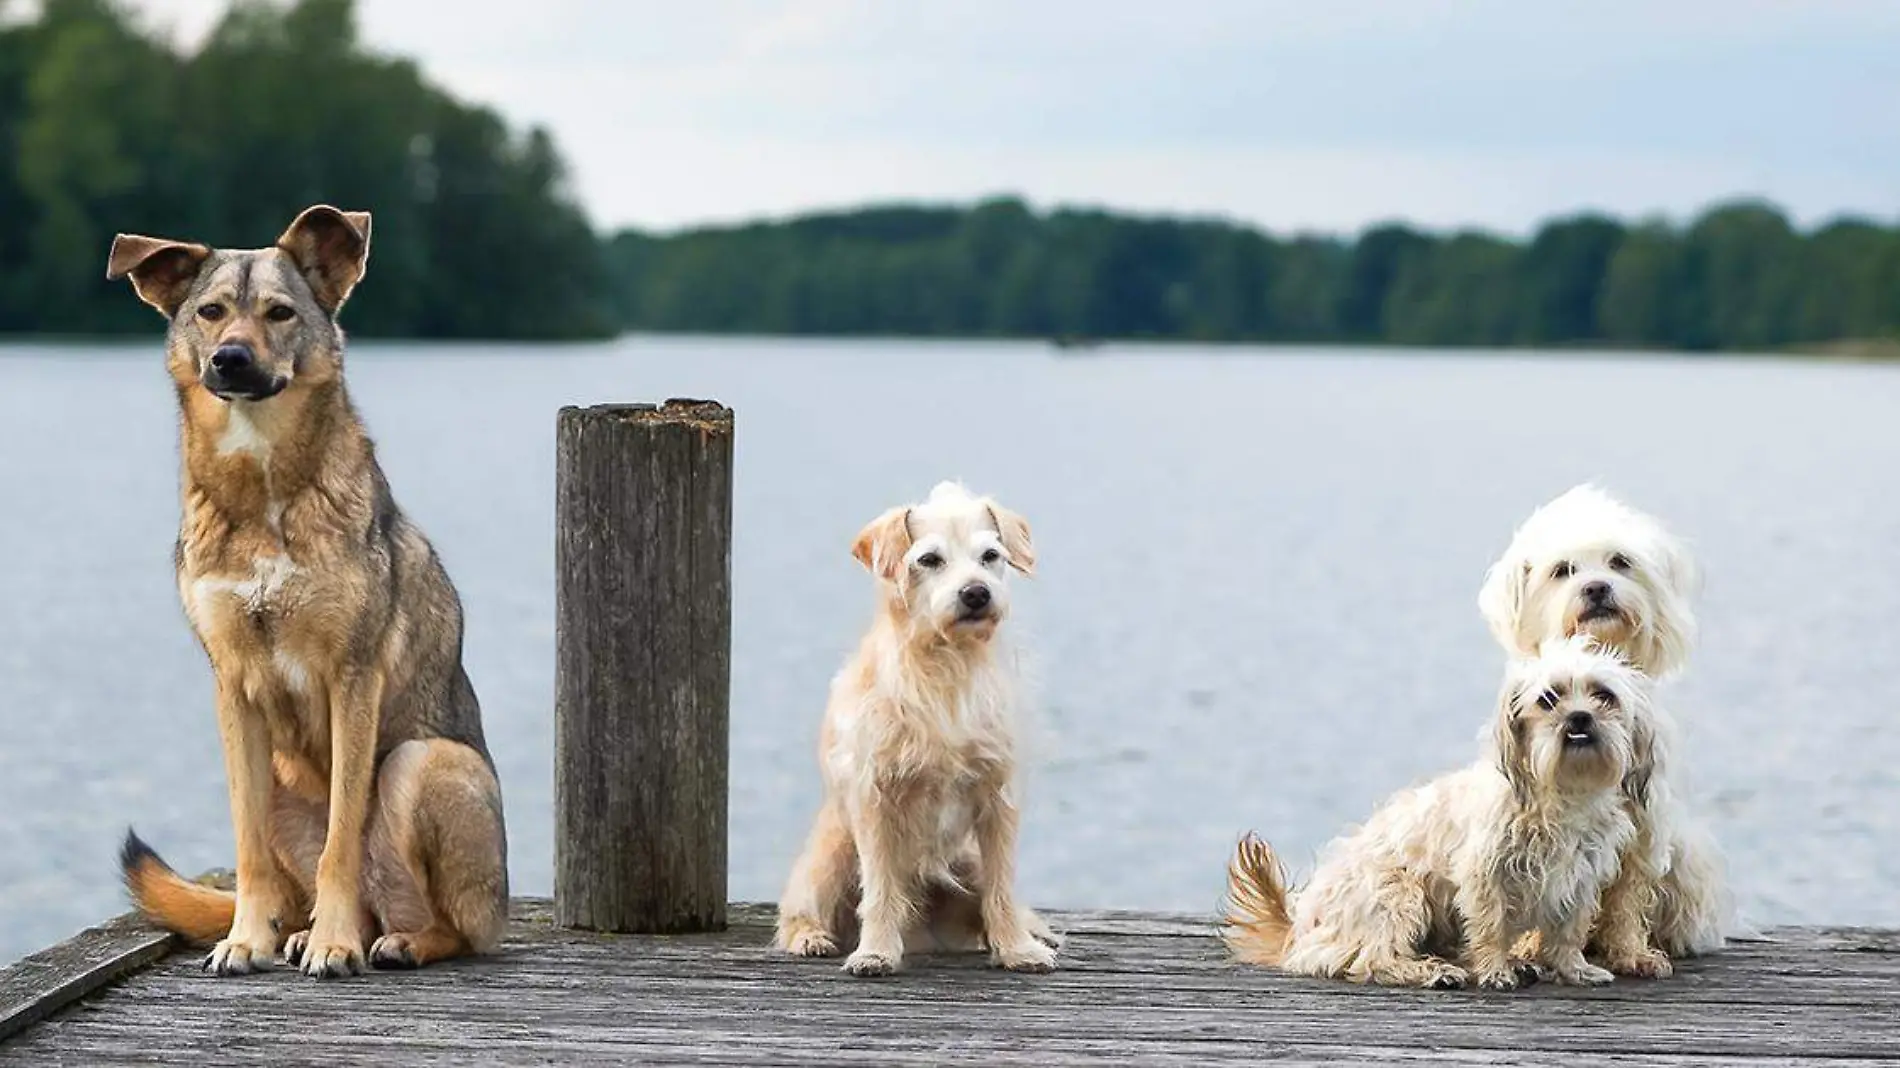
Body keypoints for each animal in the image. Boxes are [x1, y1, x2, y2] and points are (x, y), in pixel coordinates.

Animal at [106, 206, 509, 972]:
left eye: (280, 312)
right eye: (210, 313)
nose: (230, 360)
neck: (263, 486)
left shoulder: (352, 676)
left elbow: (341, 842)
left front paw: (335, 944)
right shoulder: (232, 686)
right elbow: (248, 852)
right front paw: (246, 938)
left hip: (424, 763)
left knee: (452, 926)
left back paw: (392, 941)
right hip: (282, 783)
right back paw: (296, 932)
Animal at [779, 480, 1064, 972]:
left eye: (991, 555)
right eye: (929, 559)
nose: (976, 593)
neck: (949, 661)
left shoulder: (999, 797)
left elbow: (1002, 886)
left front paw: (1017, 948)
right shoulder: (875, 798)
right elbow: (879, 888)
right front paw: (874, 951)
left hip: (965, 861)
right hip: (830, 856)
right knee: (798, 910)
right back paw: (812, 937)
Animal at [1223, 630, 1656, 988]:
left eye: (1604, 695)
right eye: (1549, 699)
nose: (1579, 717)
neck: (1563, 792)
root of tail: (1301, 928)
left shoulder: (1579, 878)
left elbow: (1568, 931)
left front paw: (1572, 968)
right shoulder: (1485, 874)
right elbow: (1490, 925)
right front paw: (1495, 971)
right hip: (1399, 893)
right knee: (1372, 959)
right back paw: (1431, 971)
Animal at [1474, 482, 1732, 957]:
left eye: (1619, 562)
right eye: (1563, 570)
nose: (1596, 588)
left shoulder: (1645, 822)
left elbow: (1629, 895)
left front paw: (1631, 952)